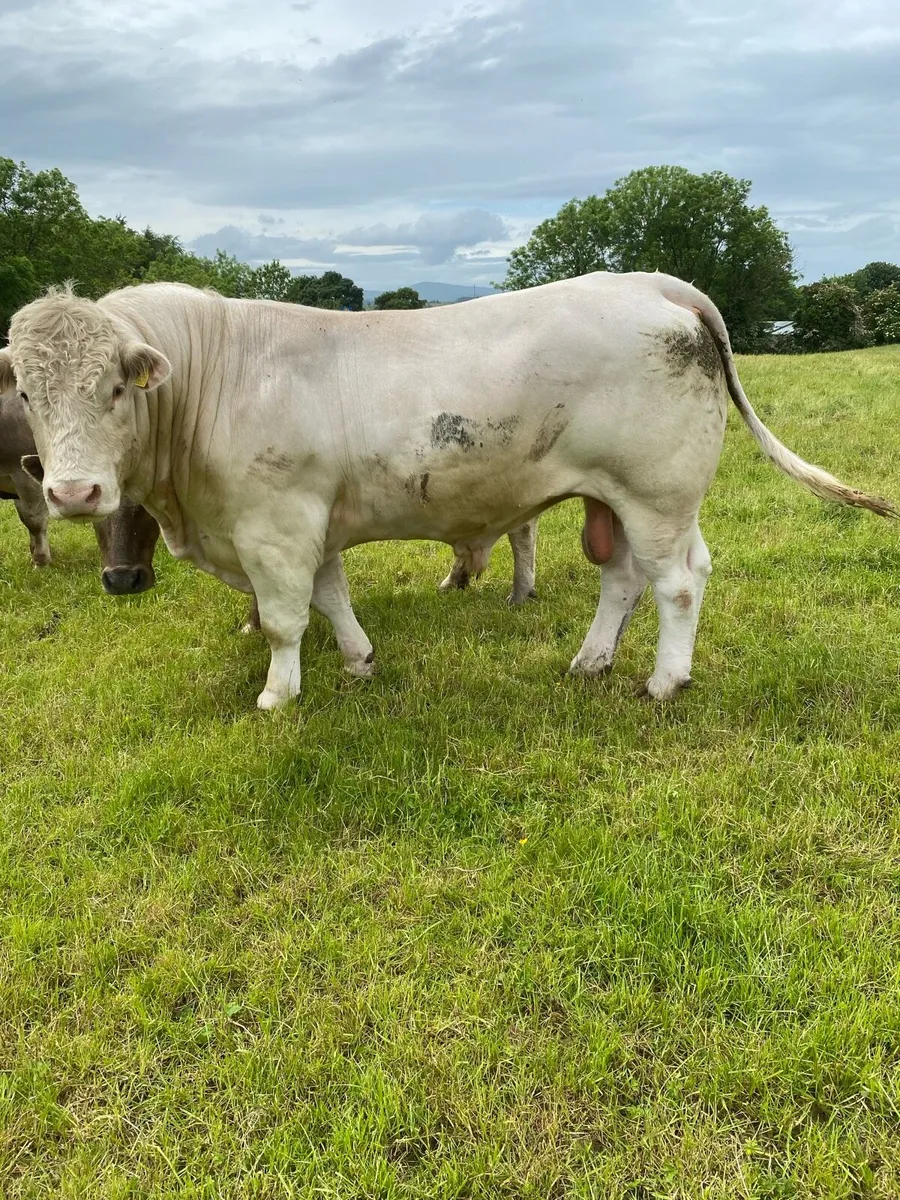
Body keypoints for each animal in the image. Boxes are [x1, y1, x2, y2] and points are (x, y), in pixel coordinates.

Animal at [2, 273, 893, 711]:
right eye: (32, 396)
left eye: (115, 387)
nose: (74, 491)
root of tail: (653, 284)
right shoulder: (310, 524)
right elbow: (332, 597)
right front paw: (359, 661)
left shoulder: (275, 527)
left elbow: (287, 620)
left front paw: (278, 694)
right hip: (619, 498)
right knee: (623, 578)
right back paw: (589, 662)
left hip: (658, 491)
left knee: (677, 583)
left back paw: (664, 682)